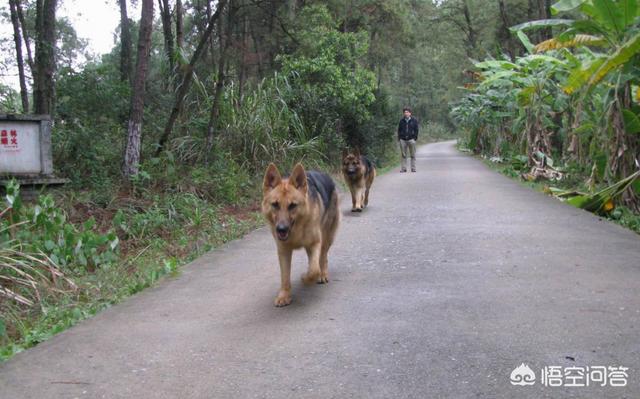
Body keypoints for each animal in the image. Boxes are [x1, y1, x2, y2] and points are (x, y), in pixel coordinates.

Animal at [262, 164, 340, 308]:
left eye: (292, 205)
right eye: (275, 204)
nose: (281, 229)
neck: (296, 230)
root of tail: (324, 174)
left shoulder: (315, 243)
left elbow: (314, 269)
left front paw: (306, 278)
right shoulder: (284, 251)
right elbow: (285, 276)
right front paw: (284, 296)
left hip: (326, 238)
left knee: (322, 257)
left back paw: (323, 274)